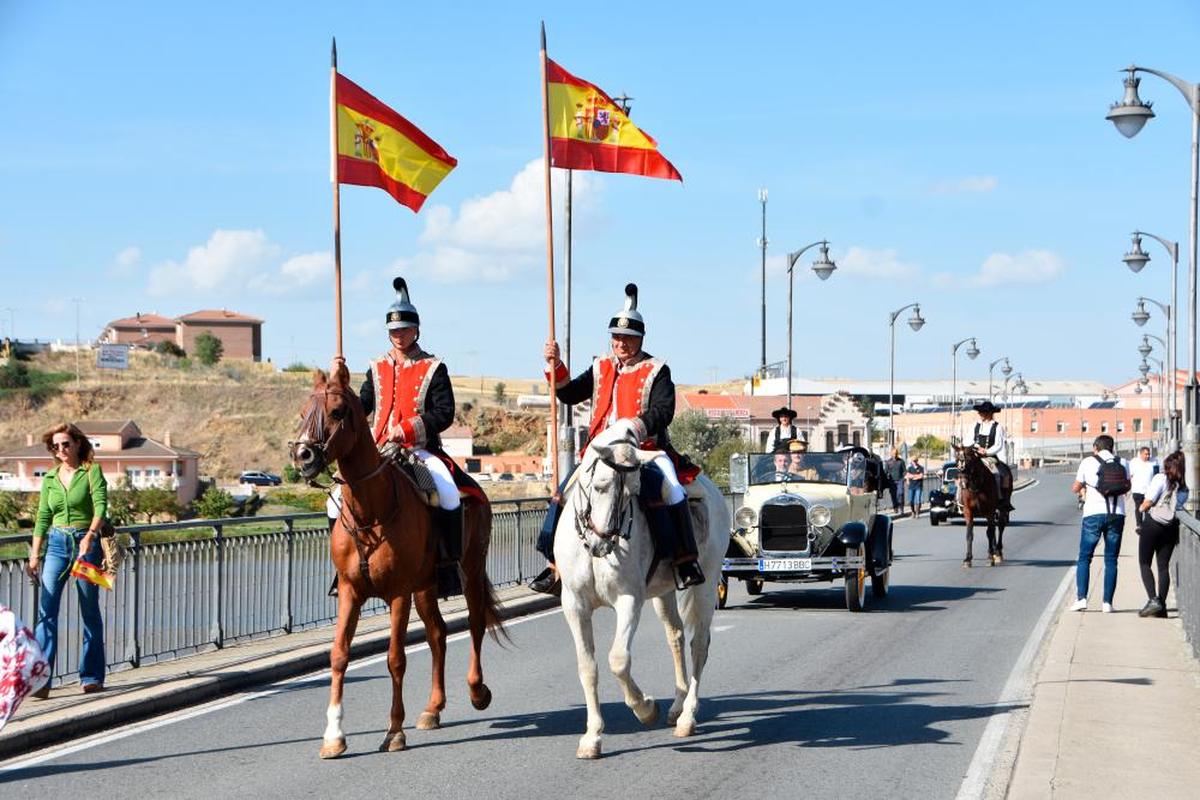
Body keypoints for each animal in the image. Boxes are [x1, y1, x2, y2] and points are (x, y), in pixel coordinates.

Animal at [292, 367, 504, 762]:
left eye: (338, 411)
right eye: (303, 412)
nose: (302, 455)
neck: (369, 512)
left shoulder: (398, 594)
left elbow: (395, 658)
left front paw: (393, 731)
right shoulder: (351, 591)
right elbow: (339, 655)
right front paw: (334, 736)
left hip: (468, 572)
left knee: (475, 624)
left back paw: (477, 691)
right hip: (427, 587)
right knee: (438, 634)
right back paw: (433, 708)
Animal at [552, 429, 729, 762]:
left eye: (632, 493)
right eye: (600, 486)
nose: (603, 544)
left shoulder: (629, 600)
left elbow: (618, 660)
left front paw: (645, 708)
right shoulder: (574, 605)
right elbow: (588, 667)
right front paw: (592, 737)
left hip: (707, 584)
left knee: (699, 644)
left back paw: (687, 717)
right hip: (665, 592)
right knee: (676, 636)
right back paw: (676, 706)